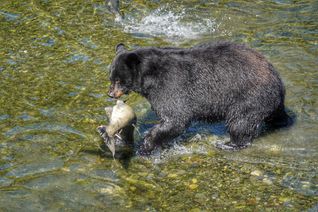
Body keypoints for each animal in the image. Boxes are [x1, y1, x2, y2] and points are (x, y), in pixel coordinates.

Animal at [108, 41, 290, 154]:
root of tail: (277, 81)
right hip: (269, 103)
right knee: (276, 117)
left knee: (240, 122)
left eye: (118, 80)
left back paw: (229, 144)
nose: (110, 94)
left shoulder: (169, 86)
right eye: (111, 77)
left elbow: (175, 118)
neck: (150, 76)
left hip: (248, 98)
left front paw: (146, 145)